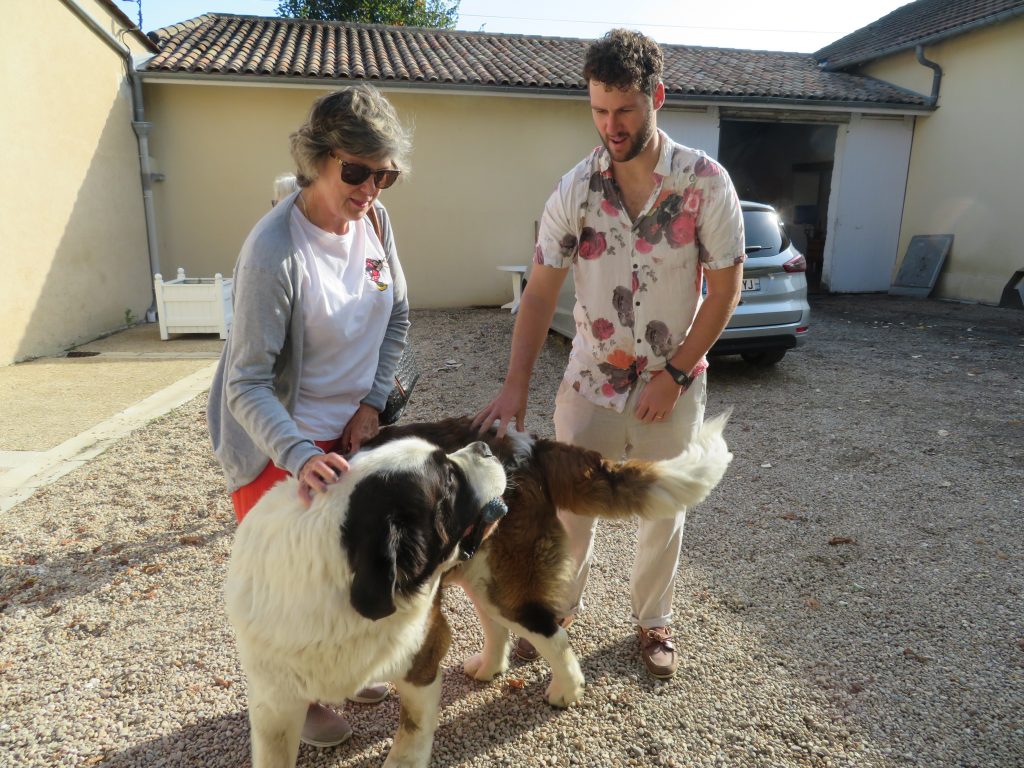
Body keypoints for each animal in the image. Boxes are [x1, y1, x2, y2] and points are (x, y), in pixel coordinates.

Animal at [228, 415, 733, 768]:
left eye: (446, 464)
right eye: (449, 481)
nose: (483, 448)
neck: (333, 578)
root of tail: (527, 441)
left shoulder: (422, 656)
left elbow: (411, 733)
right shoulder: (274, 697)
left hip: (505, 582)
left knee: (548, 630)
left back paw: (566, 689)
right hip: (480, 572)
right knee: (498, 624)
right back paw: (490, 668)